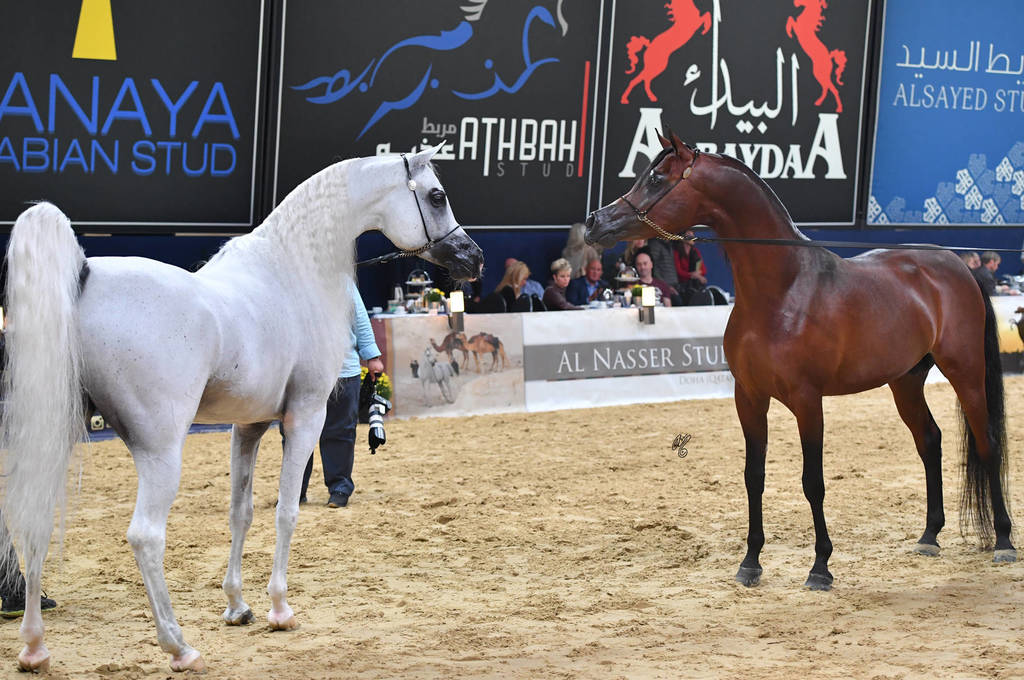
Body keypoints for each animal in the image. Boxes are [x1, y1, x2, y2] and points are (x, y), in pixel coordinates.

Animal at [0, 145, 483, 672]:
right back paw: (180, 647)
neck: (292, 272)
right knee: (146, 536)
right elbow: (287, 511)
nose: (473, 258)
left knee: (36, 523)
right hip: (160, 451)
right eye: (436, 196)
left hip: (55, 436)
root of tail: (85, 275)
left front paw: (237, 606)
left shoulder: (247, 426)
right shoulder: (305, 417)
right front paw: (279, 609)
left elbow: (241, 512)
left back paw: (34, 648)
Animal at [584, 131, 1016, 590]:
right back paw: (930, 536)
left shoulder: (808, 402)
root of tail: (958, 265)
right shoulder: (749, 398)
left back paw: (1004, 541)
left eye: (658, 178)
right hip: (905, 381)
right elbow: (753, 477)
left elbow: (813, 482)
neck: (782, 291)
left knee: (987, 444)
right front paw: (751, 562)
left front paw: (820, 567)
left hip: (965, 372)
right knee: (929, 440)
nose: (595, 222)